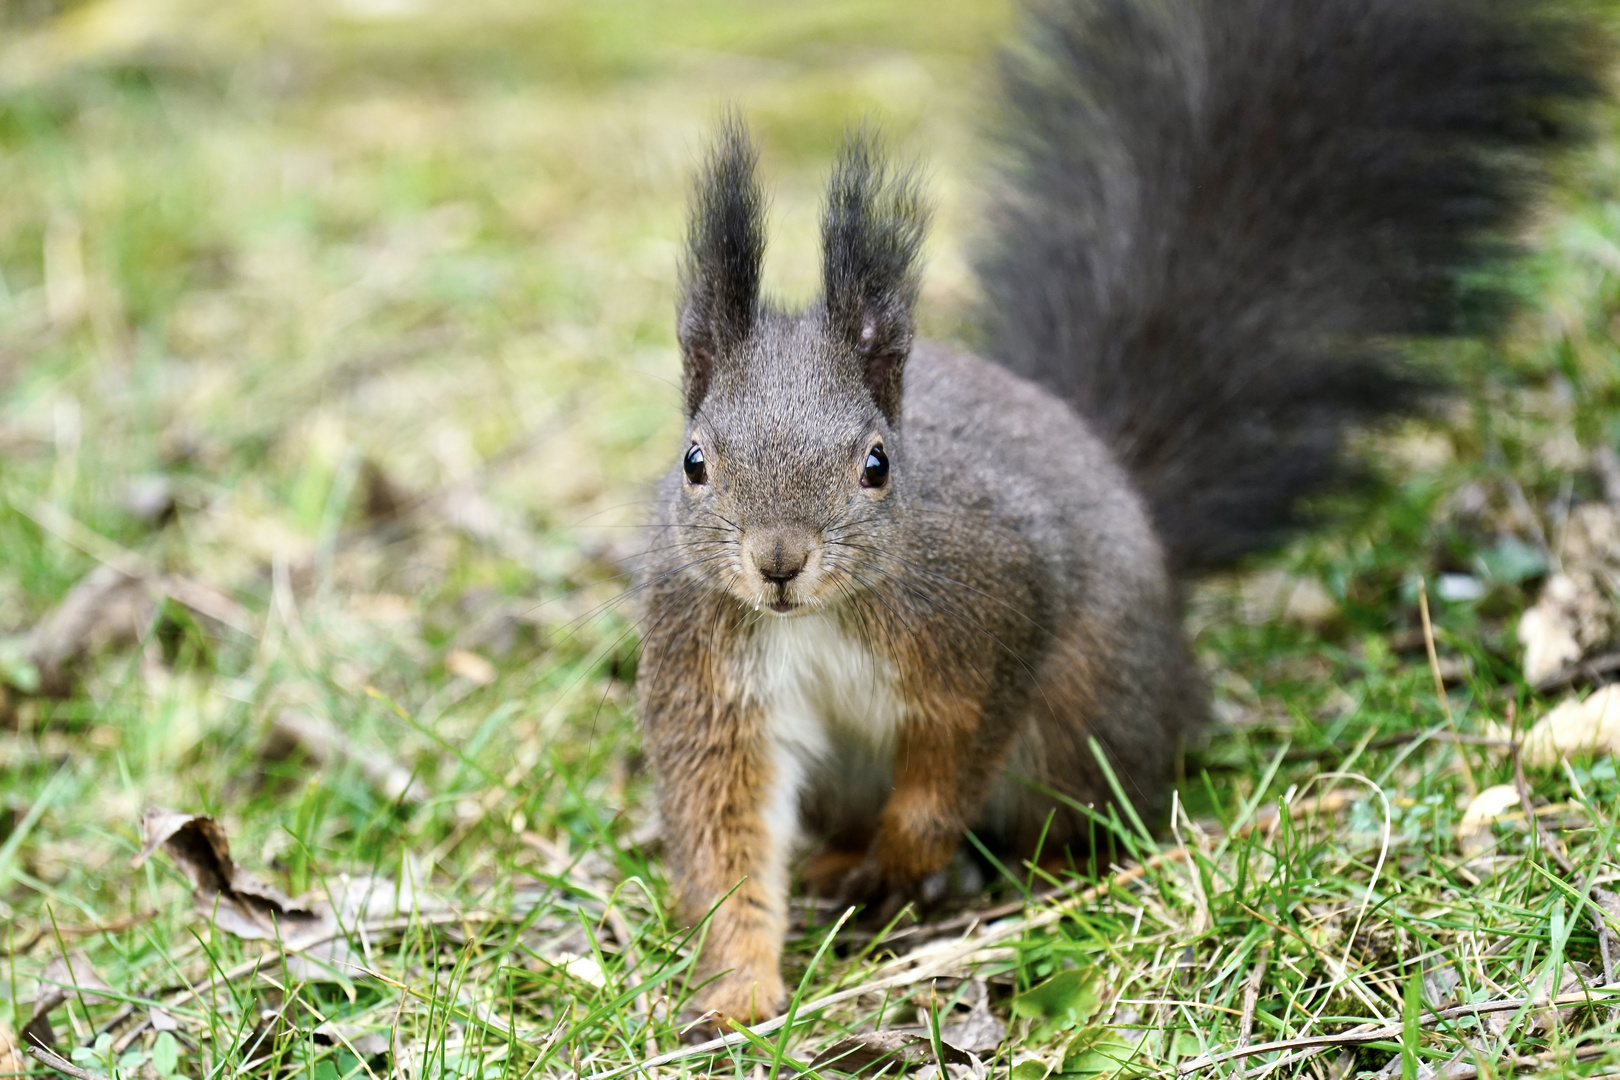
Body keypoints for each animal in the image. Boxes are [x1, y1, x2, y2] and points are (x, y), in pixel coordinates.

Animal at [628, 0, 1594, 1036]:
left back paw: (1030, 872)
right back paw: (843, 858)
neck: (816, 617)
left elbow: (956, 756)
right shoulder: (707, 667)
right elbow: (723, 832)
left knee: (1083, 805)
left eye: (877, 465)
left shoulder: (996, 605)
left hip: (1087, 712)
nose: (779, 562)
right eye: (694, 461)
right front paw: (736, 992)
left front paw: (908, 854)